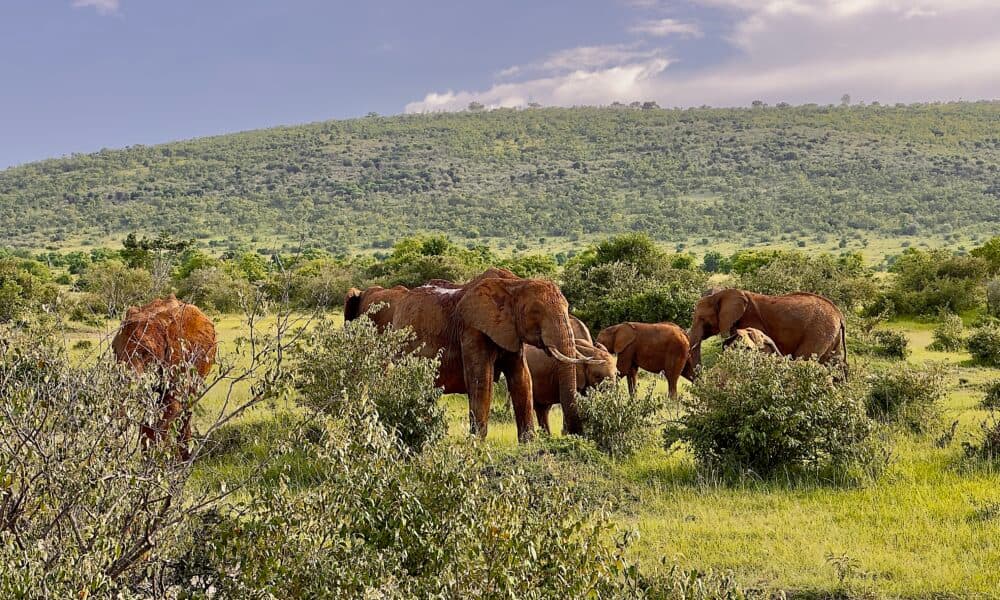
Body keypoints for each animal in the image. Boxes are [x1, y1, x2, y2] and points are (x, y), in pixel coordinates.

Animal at [392, 269, 602, 441]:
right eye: (536, 312)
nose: (574, 434)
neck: (514, 284)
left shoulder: (511, 332)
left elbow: (522, 379)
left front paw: (529, 443)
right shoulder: (472, 329)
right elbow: (481, 380)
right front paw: (477, 444)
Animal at [688, 288, 846, 372]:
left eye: (702, 319)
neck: (722, 293)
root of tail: (839, 315)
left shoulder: (750, 321)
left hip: (818, 330)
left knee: (804, 357)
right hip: (831, 333)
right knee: (835, 363)